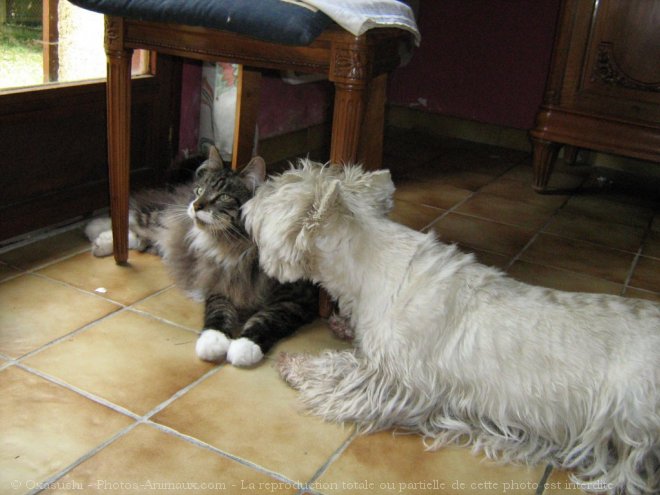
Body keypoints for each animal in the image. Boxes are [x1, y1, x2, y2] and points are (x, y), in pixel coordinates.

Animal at [86, 145, 318, 366]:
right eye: (200, 190)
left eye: (223, 197)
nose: (196, 205)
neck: (238, 246)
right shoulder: (219, 282)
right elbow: (219, 312)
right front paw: (213, 342)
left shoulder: (296, 299)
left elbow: (267, 321)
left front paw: (245, 347)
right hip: (164, 219)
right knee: (137, 216)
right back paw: (95, 231)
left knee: (142, 236)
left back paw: (100, 240)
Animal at [244, 161, 660, 494]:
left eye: (275, 191)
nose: (249, 201)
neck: (369, 266)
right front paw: (343, 325)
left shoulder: (399, 379)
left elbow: (342, 371)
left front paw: (294, 364)